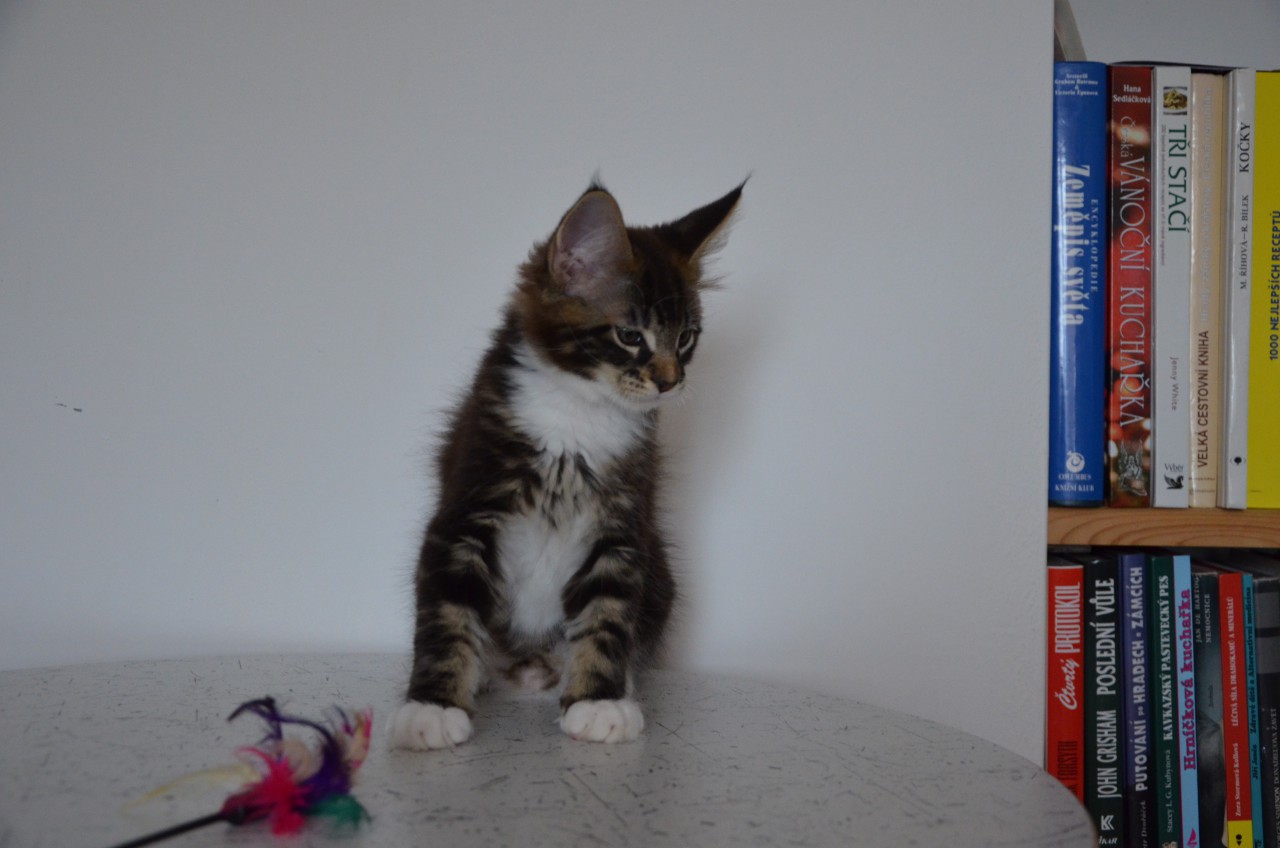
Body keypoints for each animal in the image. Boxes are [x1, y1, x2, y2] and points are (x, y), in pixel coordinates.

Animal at [390, 180, 742, 749]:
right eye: (631, 336)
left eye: (686, 338)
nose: (671, 382)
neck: (578, 415)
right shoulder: (464, 514)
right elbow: (447, 616)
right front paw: (433, 706)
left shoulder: (622, 529)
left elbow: (607, 616)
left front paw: (597, 700)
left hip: (659, 577)